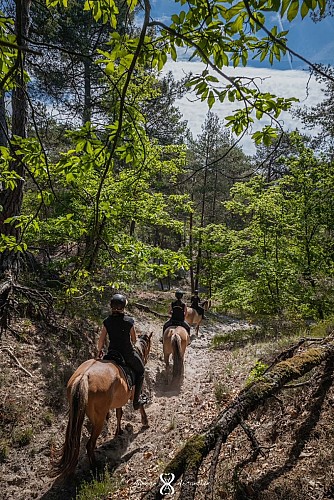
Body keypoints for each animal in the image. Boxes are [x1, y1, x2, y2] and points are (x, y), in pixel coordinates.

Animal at [55, 332, 153, 476]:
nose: (145, 359)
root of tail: (84, 376)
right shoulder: (133, 393)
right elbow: (138, 405)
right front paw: (145, 421)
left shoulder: (119, 400)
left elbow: (119, 413)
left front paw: (118, 431)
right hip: (99, 418)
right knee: (89, 445)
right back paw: (95, 466)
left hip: (83, 414)